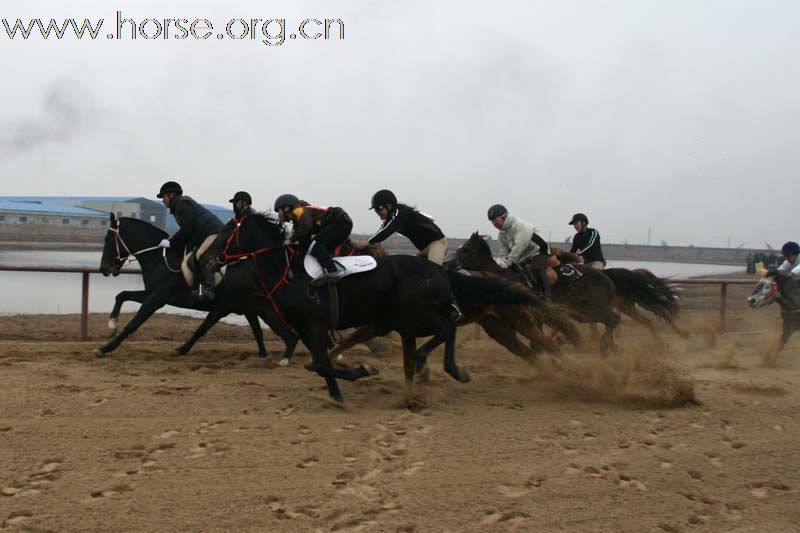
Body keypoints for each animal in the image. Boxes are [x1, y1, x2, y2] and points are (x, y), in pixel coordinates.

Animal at [94, 214, 300, 360]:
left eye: (107, 239)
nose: (103, 269)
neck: (159, 258)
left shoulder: (156, 299)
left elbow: (133, 324)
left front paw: (105, 347)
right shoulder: (151, 293)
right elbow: (122, 295)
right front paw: (111, 325)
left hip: (249, 307)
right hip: (253, 307)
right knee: (272, 332)